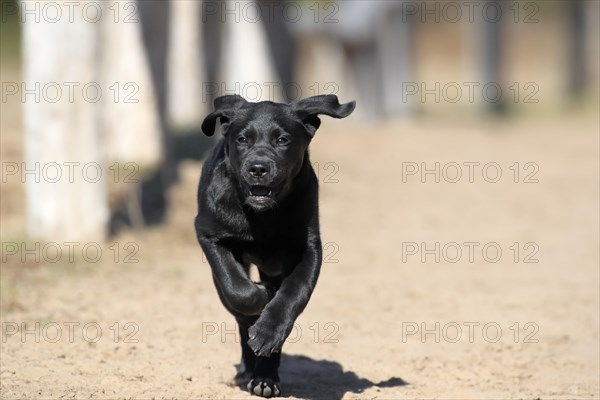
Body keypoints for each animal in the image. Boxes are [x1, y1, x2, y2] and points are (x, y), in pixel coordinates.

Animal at [195, 94, 354, 396]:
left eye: (282, 140)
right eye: (242, 139)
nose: (258, 168)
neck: (263, 216)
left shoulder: (308, 249)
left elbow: (293, 294)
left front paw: (269, 332)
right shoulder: (209, 234)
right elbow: (238, 289)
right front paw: (260, 295)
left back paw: (265, 378)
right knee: (241, 317)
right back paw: (251, 369)